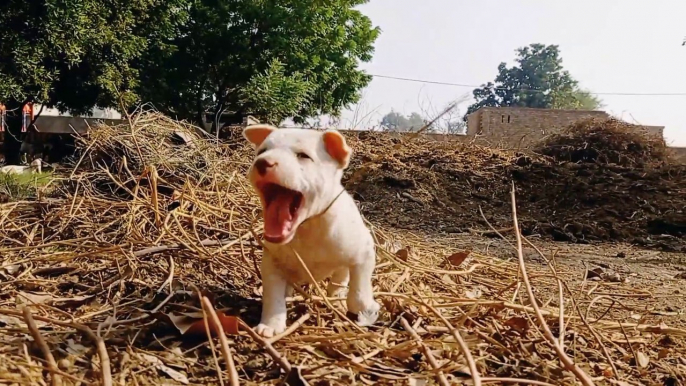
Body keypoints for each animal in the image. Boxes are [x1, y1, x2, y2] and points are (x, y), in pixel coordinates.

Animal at [243, 124, 382, 338]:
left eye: (303, 156)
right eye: (262, 151)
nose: (262, 162)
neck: (307, 228)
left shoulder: (365, 250)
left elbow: (360, 285)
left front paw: (364, 308)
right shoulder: (271, 263)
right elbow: (273, 295)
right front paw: (271, 325)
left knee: (341, 276)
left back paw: (338, 295)